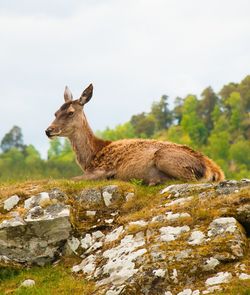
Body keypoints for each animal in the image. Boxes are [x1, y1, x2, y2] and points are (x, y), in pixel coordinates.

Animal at [45, 84, 225, 185]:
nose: (48, 130)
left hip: (164, 157)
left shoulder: (102, 170)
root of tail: (215, 171)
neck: (91, 157)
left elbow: (67, 179)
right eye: (55, 113)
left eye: (70, 112)